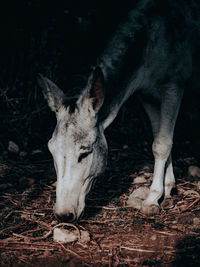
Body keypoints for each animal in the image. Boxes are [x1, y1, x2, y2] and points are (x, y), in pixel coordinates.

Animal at [38, 0, 200, 222]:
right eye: (51, 149)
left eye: (85, 152)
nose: (63, 215)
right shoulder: (146, 95)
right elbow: (160, 139)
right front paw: (168, 188)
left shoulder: (174, 84)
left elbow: (162, 143)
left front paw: (152, 199)